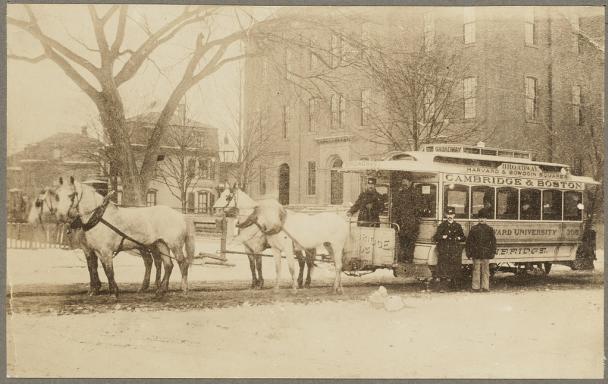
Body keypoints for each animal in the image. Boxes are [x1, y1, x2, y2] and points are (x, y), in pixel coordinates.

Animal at [28, 188, 163, 296]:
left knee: (156, 261)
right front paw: (98, 288)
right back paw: (147, 287)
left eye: (38, 202)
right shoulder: (91, 248)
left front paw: (99, 288)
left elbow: (95, 266)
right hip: (145, 246)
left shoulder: (93, 248)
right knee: (151, 261)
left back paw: (156, 286)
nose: (31, 220)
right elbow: (94, 266)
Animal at [52, 177, 196, 296]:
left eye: (71, 195)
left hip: (174, 245)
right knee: (167, 265)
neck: (99, 218)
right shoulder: (95, 250)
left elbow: (109, 271)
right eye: (58, 195)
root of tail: (180, 215)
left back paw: (183, 288)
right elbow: (97, 268)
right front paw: (100, 289)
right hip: (160, 244)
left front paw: (112, 293)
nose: (60, 215)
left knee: (182, 263)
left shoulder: (105, 251)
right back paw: (160, 290)